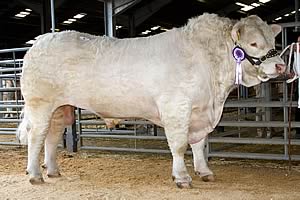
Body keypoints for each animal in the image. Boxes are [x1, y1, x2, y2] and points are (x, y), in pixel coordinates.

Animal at [17, 13, 286, 188]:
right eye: (253, 43)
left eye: (273, 42)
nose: (281, 65)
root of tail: (41, 41)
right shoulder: (176, 109)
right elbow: (179, 145)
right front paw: (182, 177)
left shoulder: (199, 113)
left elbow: (199, 144)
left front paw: (204, 171)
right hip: (40, 104)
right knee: (36, 136)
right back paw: (35, 175)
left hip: (61, 108)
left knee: (52, 137)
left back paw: (52, 170)